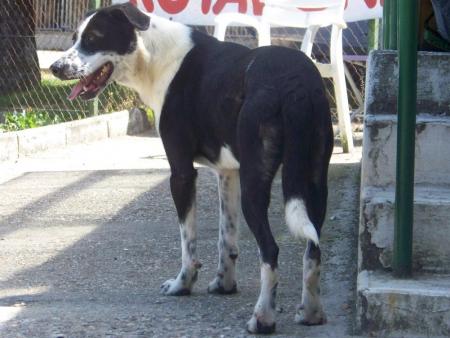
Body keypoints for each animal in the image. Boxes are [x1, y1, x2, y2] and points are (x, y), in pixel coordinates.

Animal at [51, 2, 334, 334]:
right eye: (74, 38)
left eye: (94, 38)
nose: (55, 68)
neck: (153, 55)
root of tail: (295, 81)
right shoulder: (227, 173)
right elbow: (226, 239)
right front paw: (224, 285)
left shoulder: (182, 173)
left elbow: (188, 242)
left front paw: (182, 285)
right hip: (315, 183)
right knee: (313, 248)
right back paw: (311, 312)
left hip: (256, 184)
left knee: (270, 250)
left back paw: (263, 318)